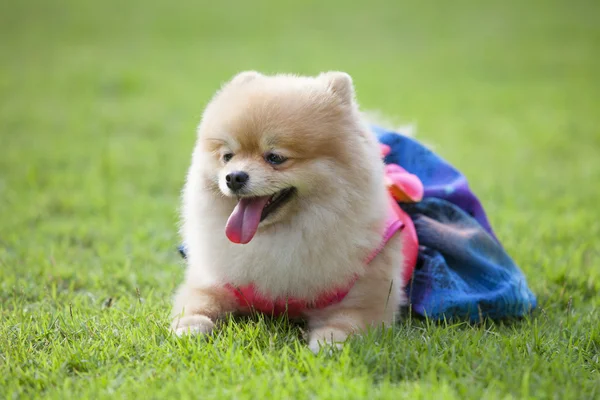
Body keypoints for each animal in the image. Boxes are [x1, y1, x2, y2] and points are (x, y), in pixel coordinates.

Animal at [172, 70, 408, 352]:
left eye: (275, 157)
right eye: (227, 157)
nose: (233, 177)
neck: (277, 236)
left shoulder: (365, 298)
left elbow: (348, 321)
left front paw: (329, 340)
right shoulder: (214, 281)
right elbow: (198, 302)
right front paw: (190, 327)